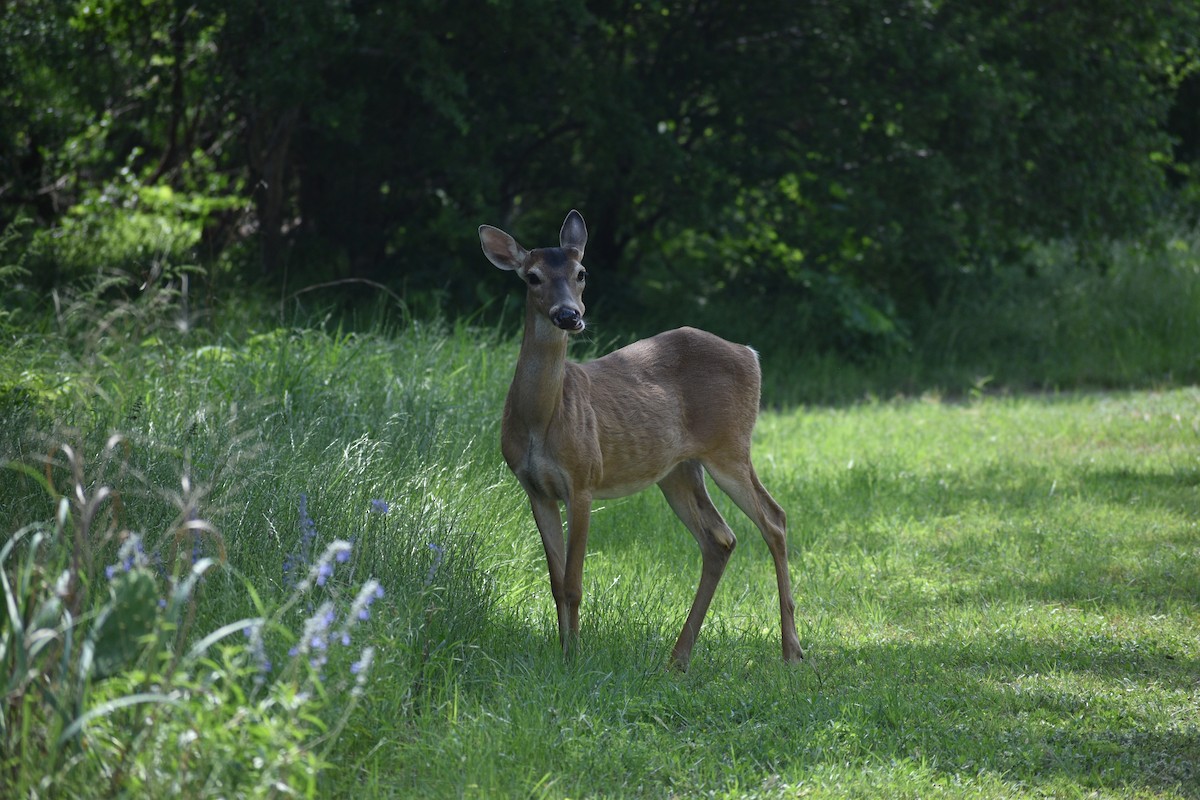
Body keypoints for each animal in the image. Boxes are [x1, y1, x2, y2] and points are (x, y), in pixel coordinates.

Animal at [478, 209, 804, 670]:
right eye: (532, 277)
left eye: (582, 273)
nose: (569, 315)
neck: (542, 420)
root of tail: (750, 353)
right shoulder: (534, 488)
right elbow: (556, 582)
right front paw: (562, 652)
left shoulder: (583, 479)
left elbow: (574, 582)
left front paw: (575, 659)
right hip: (678, 470)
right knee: (720, 539)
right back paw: (679, 657)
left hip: (730, 446)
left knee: (774, 519)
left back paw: (791, 649)